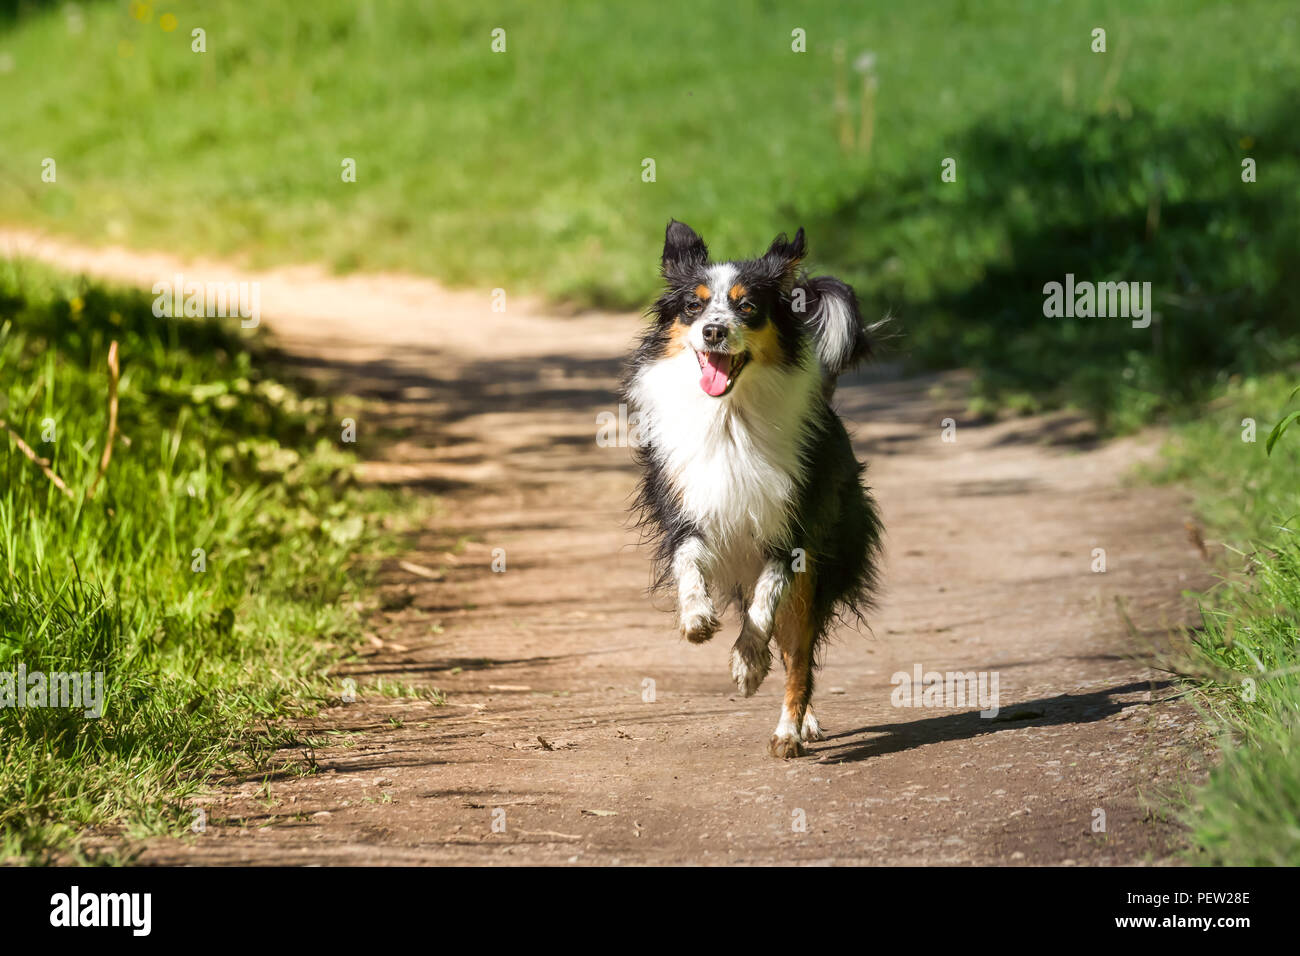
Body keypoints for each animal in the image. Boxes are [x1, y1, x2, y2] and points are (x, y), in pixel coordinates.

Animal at [618, 221, 883, 759]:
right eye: (693, 306)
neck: (729, 417)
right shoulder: (687, 512)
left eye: (747, 307)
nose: (713, 331)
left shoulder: (792, 531)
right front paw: (697, 618)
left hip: (820, 567)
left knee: (799, 654)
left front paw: (746, 663)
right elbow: (689, 564)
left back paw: (789, 730)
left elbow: (765, 605)